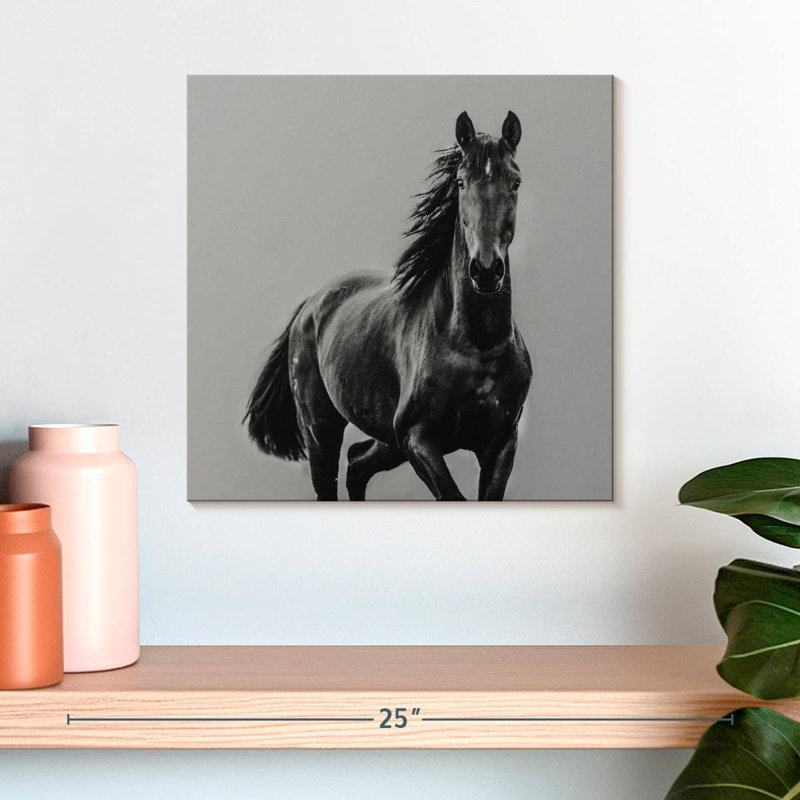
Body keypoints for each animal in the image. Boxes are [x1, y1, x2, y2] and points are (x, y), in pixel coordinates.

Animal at [244, 110, 532, 500]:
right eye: (460, 182)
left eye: (515, 182)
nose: (486, 270)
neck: (478, 345)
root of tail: (310, 305)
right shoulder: (417, 438)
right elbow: (451, 495)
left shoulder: (501, 444)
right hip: (322, 430)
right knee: (332, 479)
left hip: (386, 440)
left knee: (356, 463)